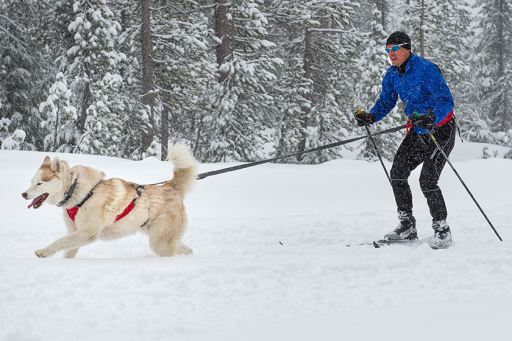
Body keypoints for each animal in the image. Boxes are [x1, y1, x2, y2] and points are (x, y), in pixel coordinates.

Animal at [21, 144, 196, 258]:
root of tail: (171, 186)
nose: (23, 194)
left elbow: (60, 241)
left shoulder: (87, 233)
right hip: (163, 239)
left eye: (39, 183)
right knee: (186, 249)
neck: (76, 190)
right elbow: (67, 248)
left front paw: (43, 252)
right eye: (31, 182)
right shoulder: (75, 232)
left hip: (160, 243)